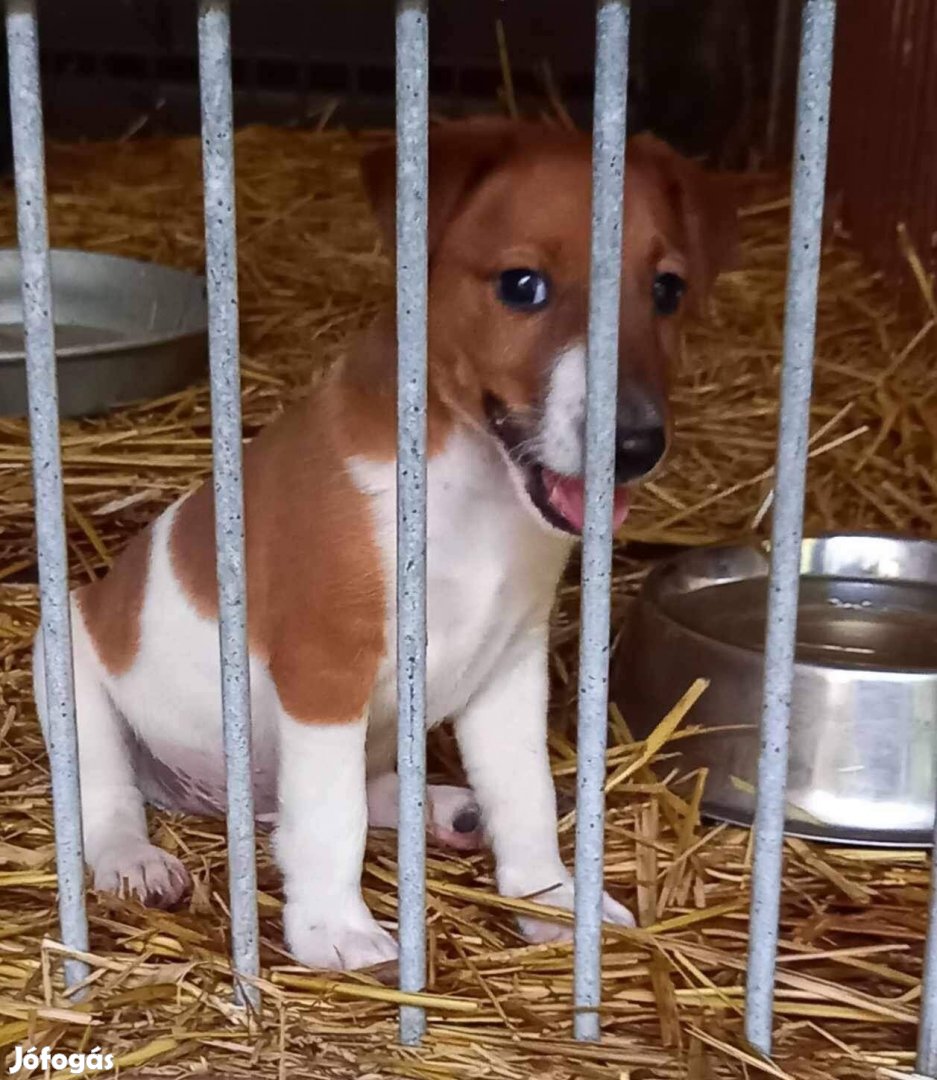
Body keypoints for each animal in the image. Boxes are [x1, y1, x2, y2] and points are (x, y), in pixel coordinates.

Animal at [31, 118, 738, 972]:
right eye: (522, 286)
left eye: (666, 290)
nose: (634, 446)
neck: (469, 486)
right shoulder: (324, 665)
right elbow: (327, 817)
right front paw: (334, 931)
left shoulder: (509, 664)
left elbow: (525, 792)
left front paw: (551, 900)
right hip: (67, 661)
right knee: (110, 798)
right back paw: (134, 860)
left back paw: (448, 812)